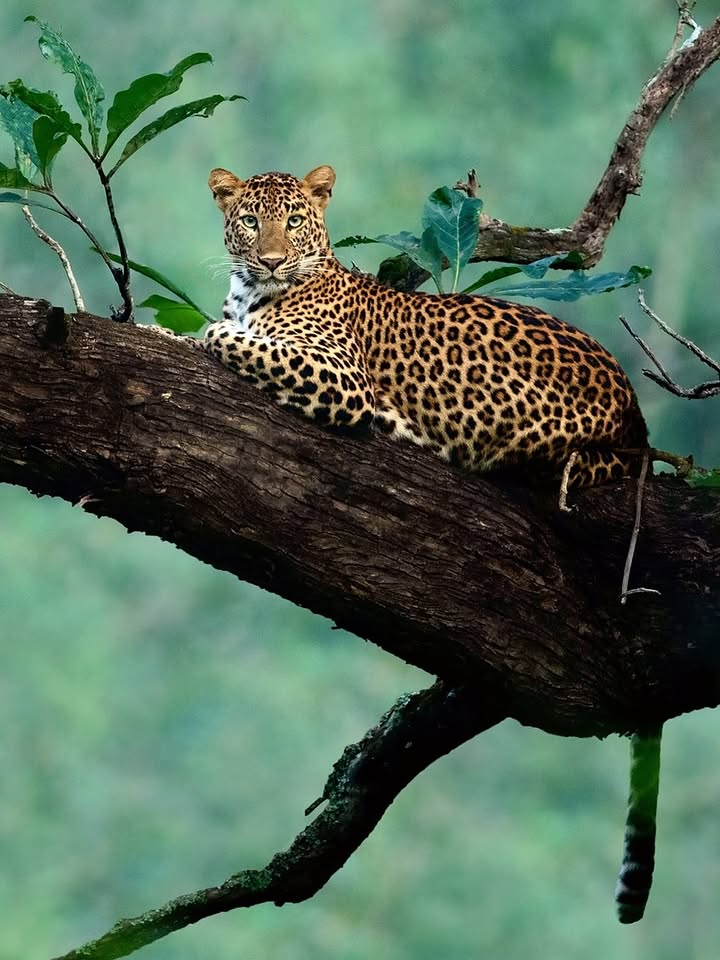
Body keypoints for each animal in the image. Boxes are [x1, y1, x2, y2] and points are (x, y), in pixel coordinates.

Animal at [200, 163, 648, 490]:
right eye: (250, 222)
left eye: (294, 221)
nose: (272, 261)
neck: (247, 291)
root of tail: (632, 405)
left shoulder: (344, 378)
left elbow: (237, 339)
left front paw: (217, 334)